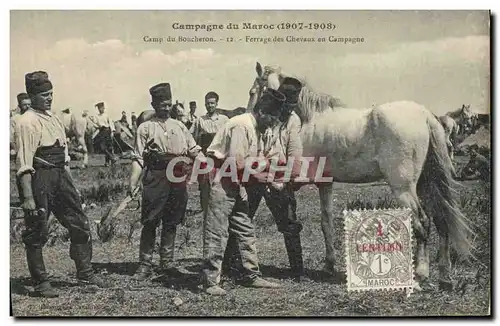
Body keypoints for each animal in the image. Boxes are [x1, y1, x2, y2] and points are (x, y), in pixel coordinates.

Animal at [248, 62, 474, 292]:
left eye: (252, 92)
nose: (253, 118)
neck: (308, 120)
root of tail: (425, 114)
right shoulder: (325, 183)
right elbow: (326, 223)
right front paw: (329, 265)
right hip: (425, 185)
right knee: (441, 220)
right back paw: (445, 277)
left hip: (404, 188)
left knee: (423, 223)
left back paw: (420, 275)